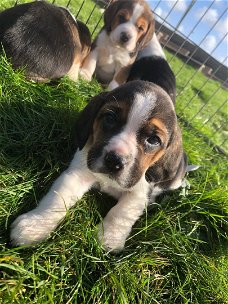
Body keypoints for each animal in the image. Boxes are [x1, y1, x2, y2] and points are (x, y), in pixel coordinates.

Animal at [9, 34, 186, 253]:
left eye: (153, 140)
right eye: (110, 118)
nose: (114, 161)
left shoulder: (139, 193)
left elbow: (121, 212)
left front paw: (109, 238)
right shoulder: (77, 173)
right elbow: (56, 199)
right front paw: (35, 226)